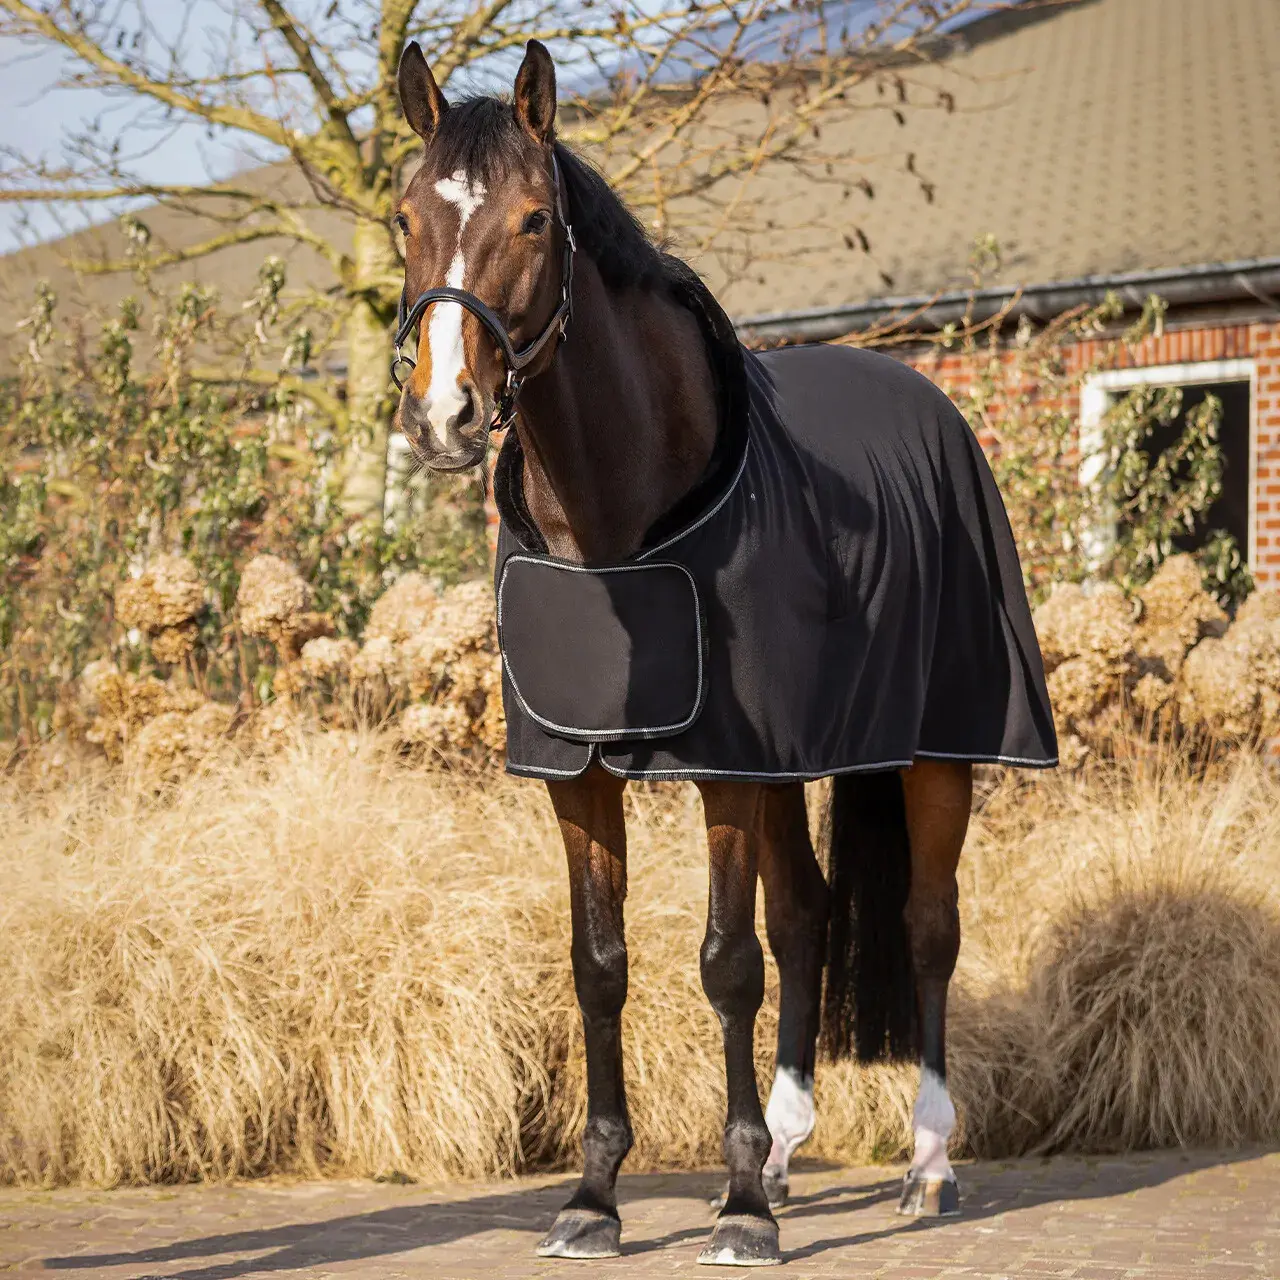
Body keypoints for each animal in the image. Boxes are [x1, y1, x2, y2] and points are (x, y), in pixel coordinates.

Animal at [390, 39, 1056, 1268]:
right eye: (409, 215)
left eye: (535, 220)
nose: (444, 417)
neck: (617, 522)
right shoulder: (582, 774)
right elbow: (600, 965)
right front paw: (596, 1196)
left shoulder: (723, 769)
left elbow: (725, 964)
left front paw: (741, 1208)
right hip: (793, 763)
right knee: (810, 916)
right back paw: (791, 1151)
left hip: (935, 751)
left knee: (925, 927)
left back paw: (925, 1163)